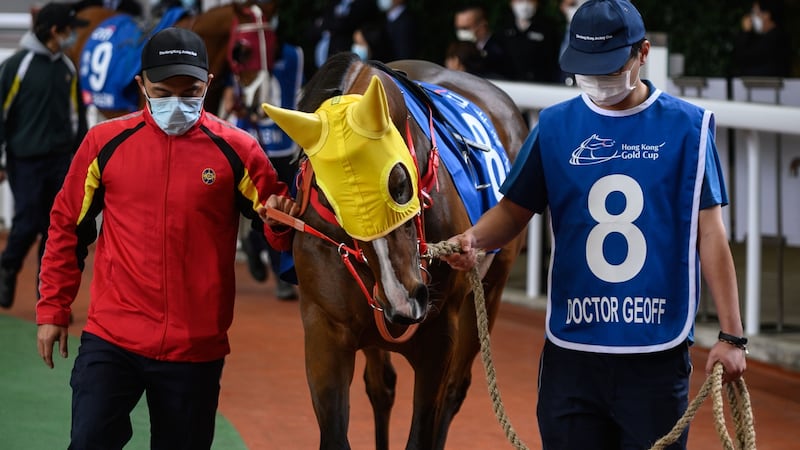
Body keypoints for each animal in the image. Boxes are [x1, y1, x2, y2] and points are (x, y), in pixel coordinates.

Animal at [260, 53, 532, 450]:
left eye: (400, 183)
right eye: (333, 202)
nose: (405, 299)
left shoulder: (438, 335)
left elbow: (424, 428)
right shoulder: (325, 327)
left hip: (490, 286)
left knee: (455, 390)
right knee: (382, 387)